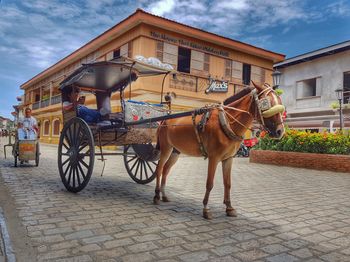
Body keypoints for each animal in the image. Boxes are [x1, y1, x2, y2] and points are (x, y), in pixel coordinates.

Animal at [153, 81, 284, 219]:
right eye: (266, 103)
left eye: (279, 101)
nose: (280, 131)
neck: (227, 121)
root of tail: (164, 119)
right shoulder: (214, 158)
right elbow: (209, 183)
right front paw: (206, 209)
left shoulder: (228, 158)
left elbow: (228, 183)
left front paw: (229, 207)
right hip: (166, 148)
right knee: (159, 169)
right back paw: (156, 195)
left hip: (175, 151)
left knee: (166, 170)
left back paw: (164, 195)